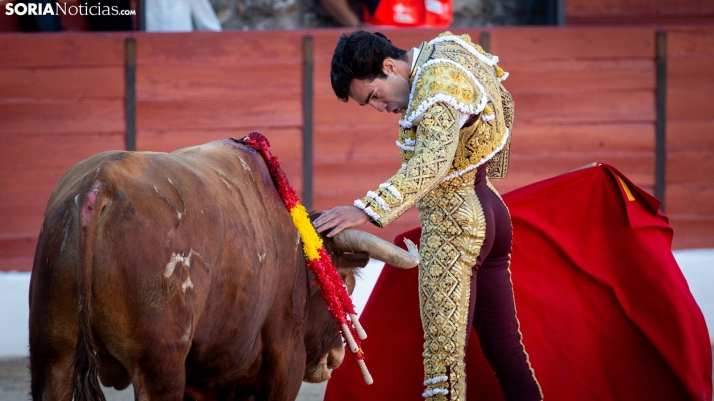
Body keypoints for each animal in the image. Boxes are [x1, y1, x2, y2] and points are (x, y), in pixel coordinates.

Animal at [29, 138, 418, 400]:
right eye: (345, 285)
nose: (335, 358)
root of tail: (99, 186)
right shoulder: (285, 358)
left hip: (52, 354)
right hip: (158, 366)